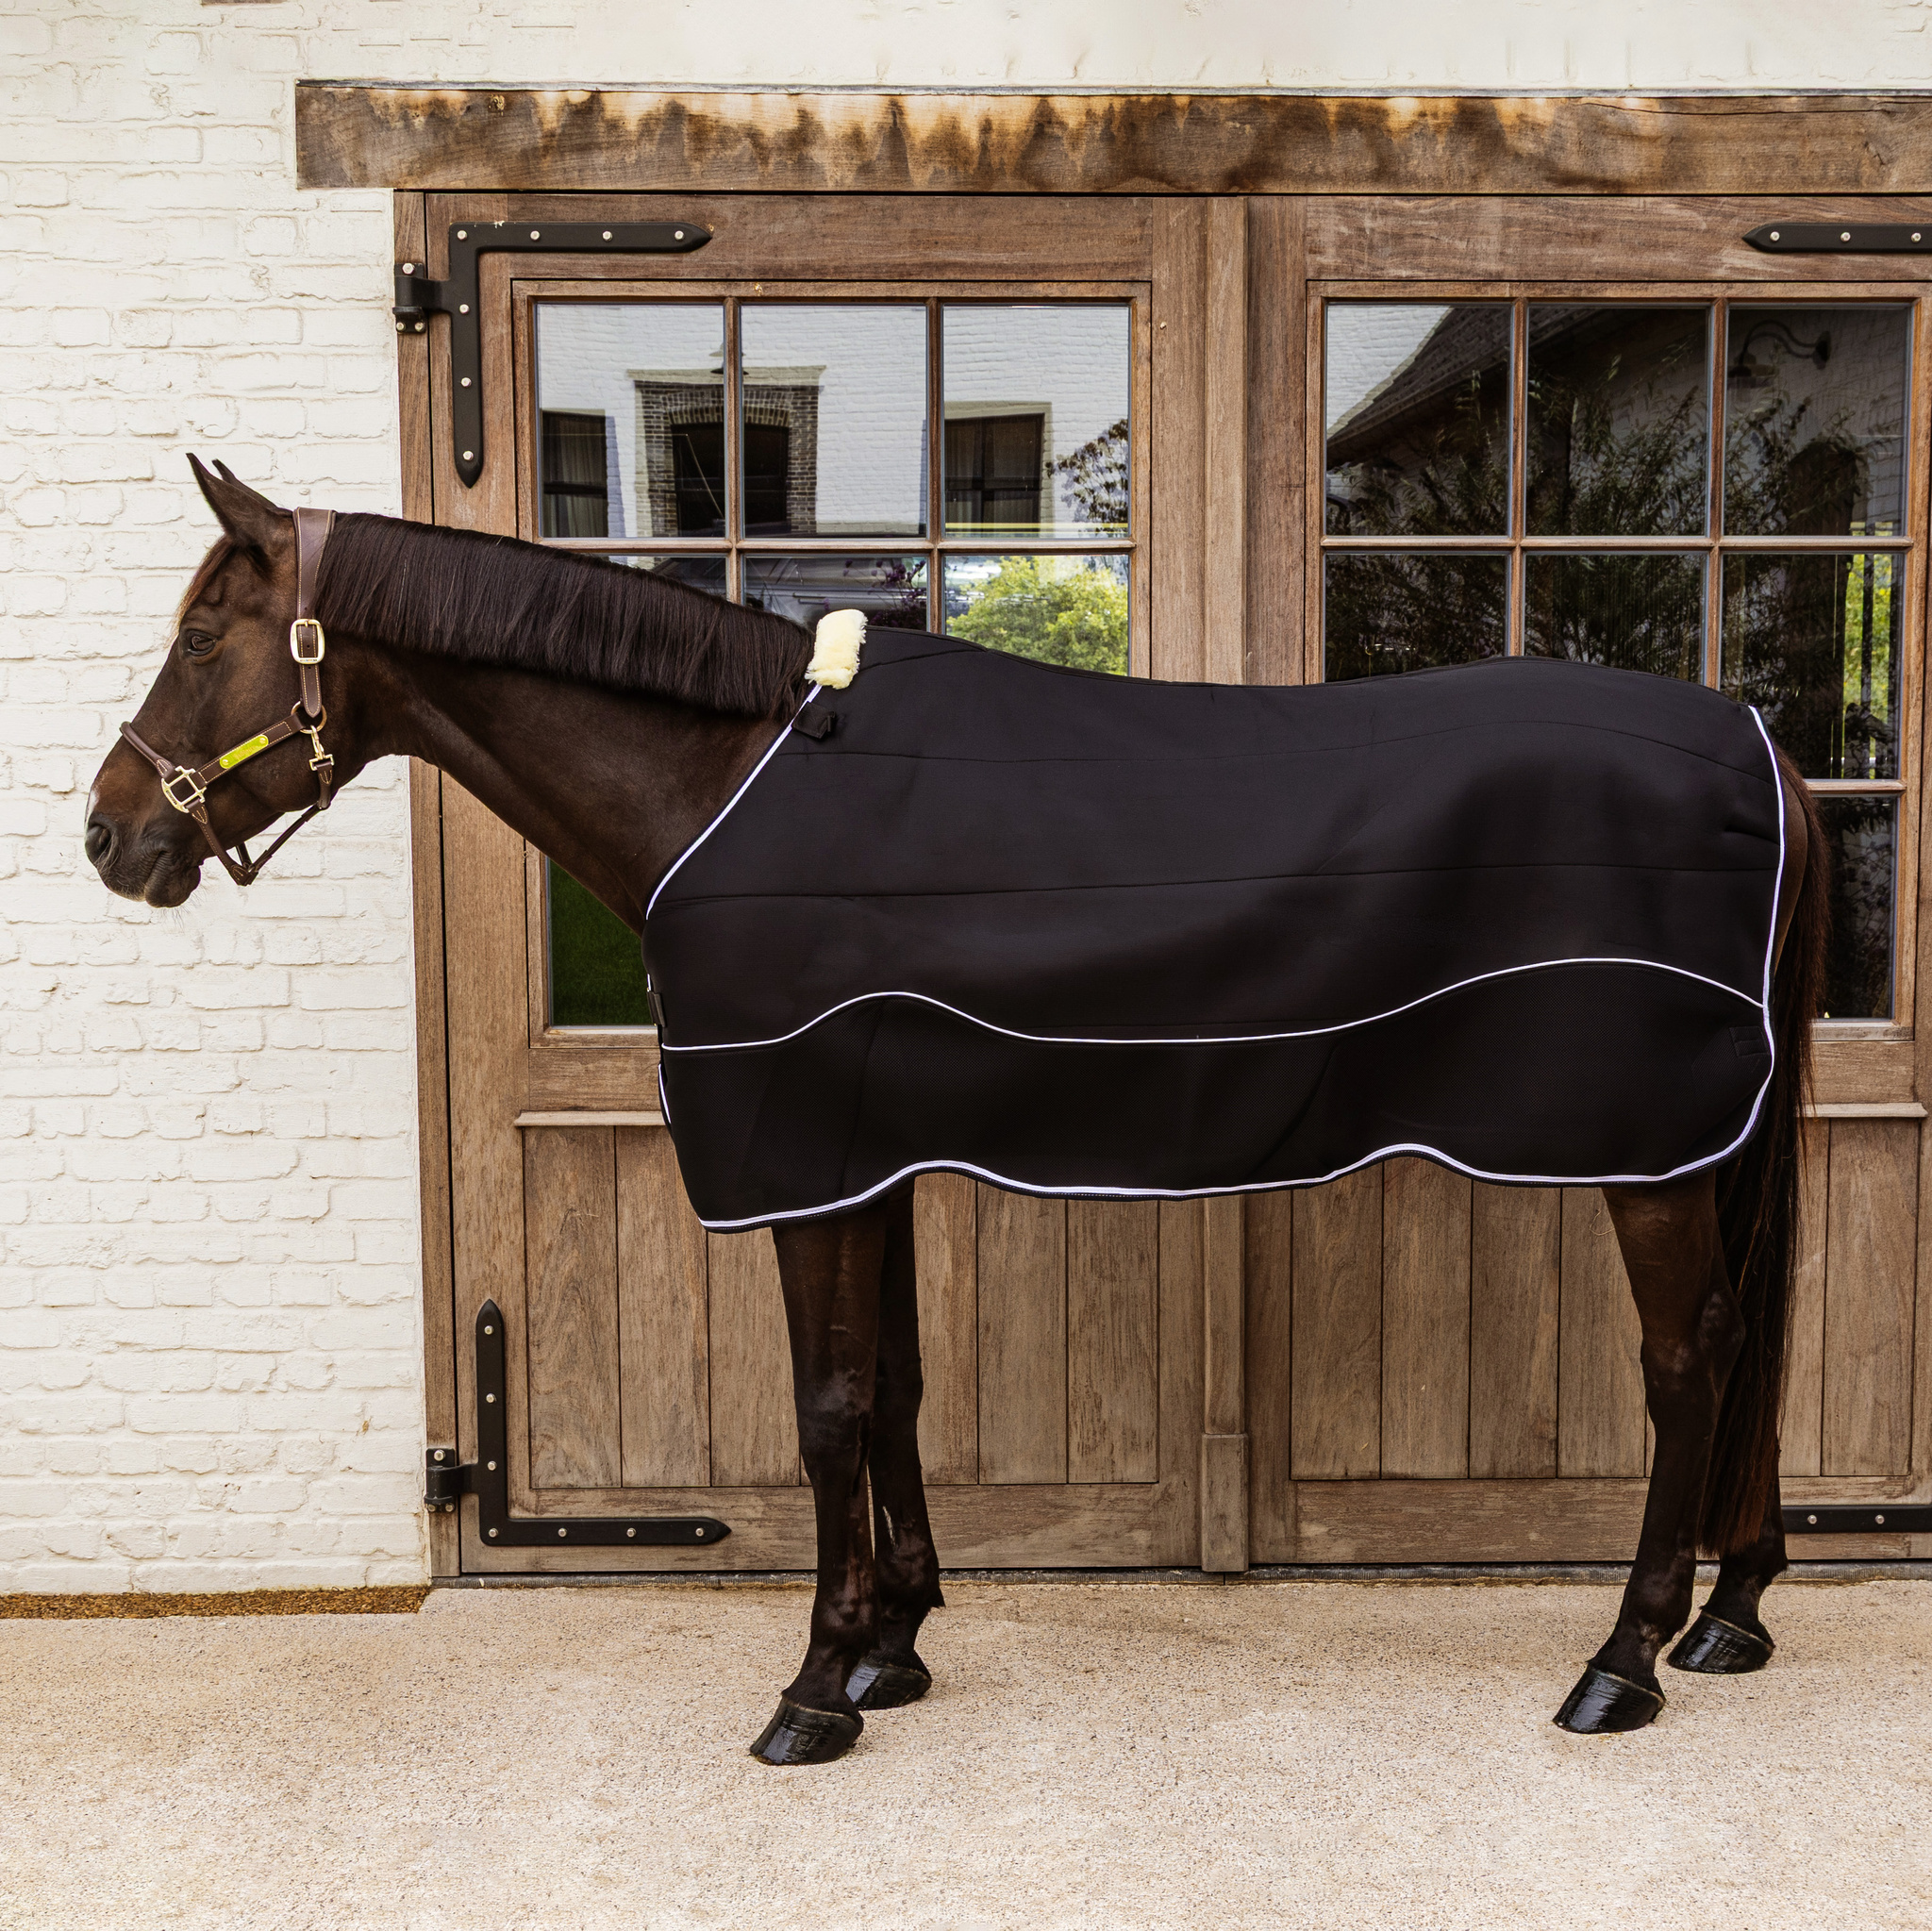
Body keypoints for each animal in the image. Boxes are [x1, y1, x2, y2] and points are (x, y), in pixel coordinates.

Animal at [87, 458, 1825, 1763]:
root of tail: (1767, 750)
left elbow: (824, 1406)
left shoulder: (798, 1147)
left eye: (201, 634)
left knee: (1692, 1360)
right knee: (1748, 1342)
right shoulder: (871, 1146)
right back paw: (1731, 1610)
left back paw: (1621, 1660)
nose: (109, 834)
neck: (726, 773)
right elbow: (894, 1387)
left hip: (1650, 1150)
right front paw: (892, 1646)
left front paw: (812, 1688)